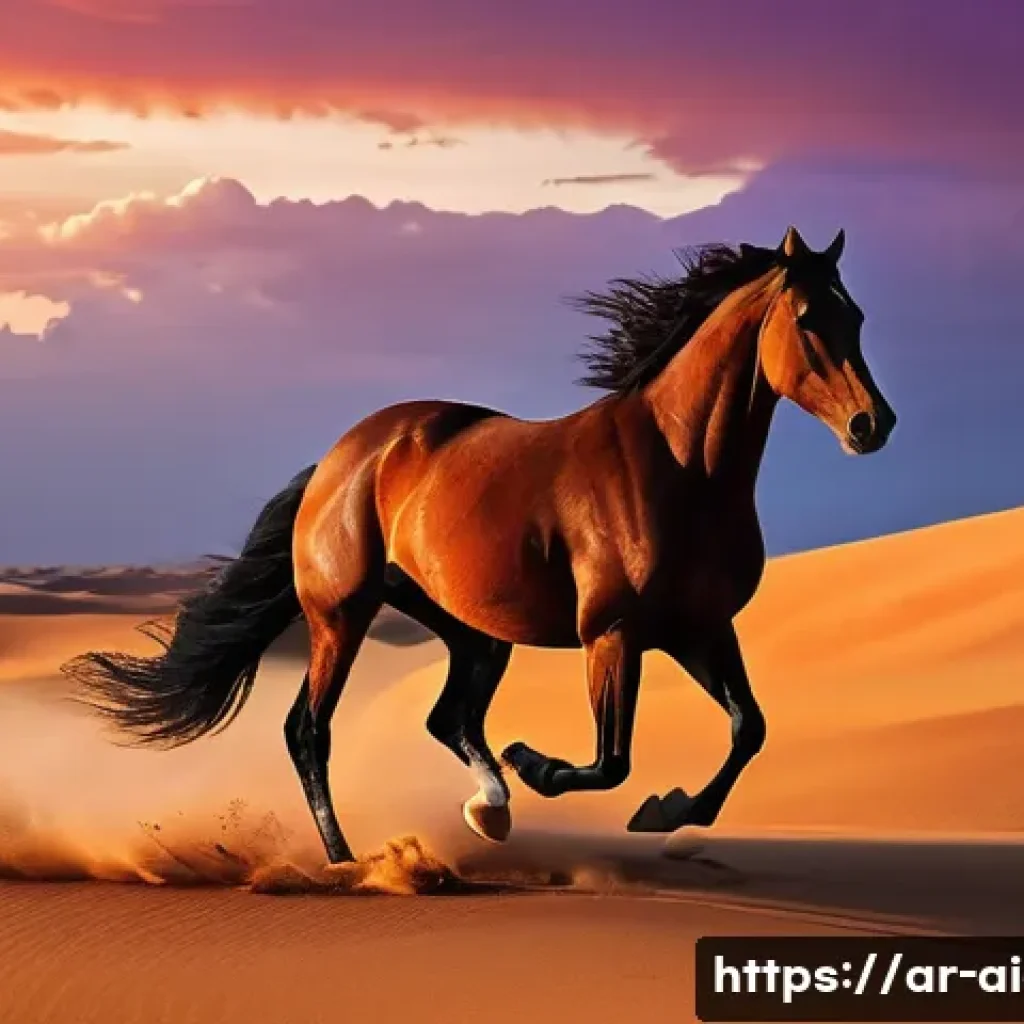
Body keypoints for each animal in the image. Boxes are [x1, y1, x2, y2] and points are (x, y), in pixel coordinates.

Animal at [63, 225, 897, 864]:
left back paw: (487, 809)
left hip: (472, 631)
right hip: (342, 616)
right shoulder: (614, 634)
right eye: (808, 318)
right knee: (309, 729)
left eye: (858, 316)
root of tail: (340, 458)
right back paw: (346, 858)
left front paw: (666, 808)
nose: (873, 425)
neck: (681, 465)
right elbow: (610, 761)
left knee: (448, 718)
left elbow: (747, 729)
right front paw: (542, 766)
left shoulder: (699, 630)